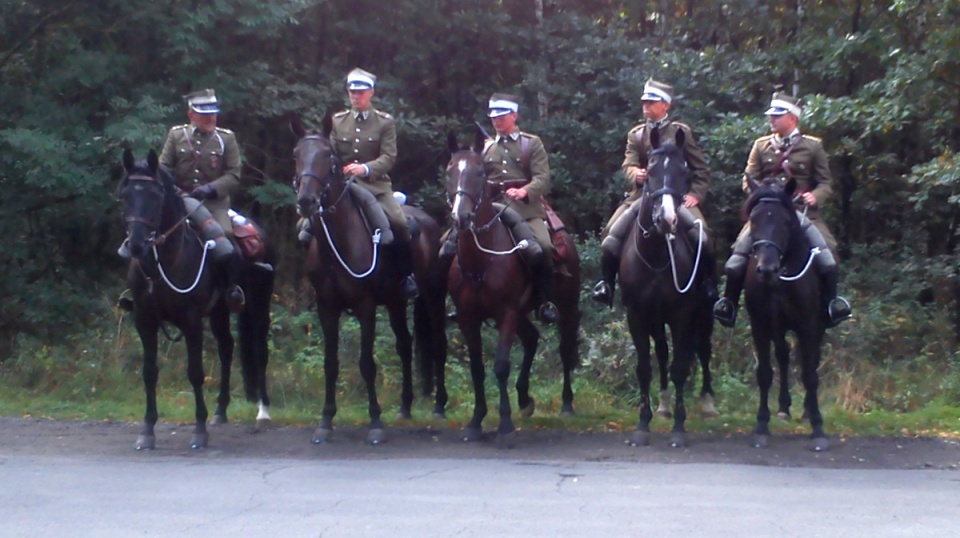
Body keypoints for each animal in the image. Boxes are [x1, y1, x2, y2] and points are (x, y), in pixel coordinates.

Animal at [119, 148, 278, 448]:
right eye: (124, 196)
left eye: (155, 195)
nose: (136, 245)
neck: (164, 261)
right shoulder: (144, 320)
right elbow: (149, 372)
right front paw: (147, 431)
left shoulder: (191, 320)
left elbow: (195, 372)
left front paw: (200, 431)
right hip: (219, 312)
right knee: (227, 347)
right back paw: (220, 411)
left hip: (259, 307)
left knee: (260, 351)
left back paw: (263, 412)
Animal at [290, 115, 448, 442]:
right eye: (296, 155)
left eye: (328, 157)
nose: (307, 201)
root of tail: (429, 222)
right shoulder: (326, 308)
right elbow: (330, 363)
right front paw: (326, 421)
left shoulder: (365, 307)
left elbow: (366, 364)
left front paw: (375, 421)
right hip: (396, 302)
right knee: (404, 346)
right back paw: (405, 406)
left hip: (433, 297)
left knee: (439, 343)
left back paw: (439, 406)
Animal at [446, 130, 580, 448]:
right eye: (449, 171)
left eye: (479, 172)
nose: (461, 217)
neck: (481, 259)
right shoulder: (468, 318)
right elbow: (477, 368)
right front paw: (476, 421)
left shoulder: (506, 313)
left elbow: (501, 365)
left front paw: (505, 425)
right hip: (521, 313)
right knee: (531, 339)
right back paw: (524, 398)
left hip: (566, 306)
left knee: (565, 348)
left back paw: (567, 404)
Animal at [620, 127, 716, 446]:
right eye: (648, 170)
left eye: (683, 171)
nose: (666, 219)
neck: (657, 256)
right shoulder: (637, 315)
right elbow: (645, 367)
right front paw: (643, 423)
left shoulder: (682, 316)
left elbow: (680, 368)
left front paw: (679, 425)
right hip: (656, 320)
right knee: (661, 353)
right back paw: (661, 405)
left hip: (705, 314)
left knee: (704, 349)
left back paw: (708, 403)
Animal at [740, 175, 828, 448]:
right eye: (753, 219)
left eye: (785, 221)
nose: (766, 269)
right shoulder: (760, 324)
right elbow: (764, 373)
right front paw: (761, 425)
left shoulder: (808, 325)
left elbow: (810, 374)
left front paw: (817, 427)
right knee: (783, 356)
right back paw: (783, 408)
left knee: (809, 361)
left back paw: (807, 411)